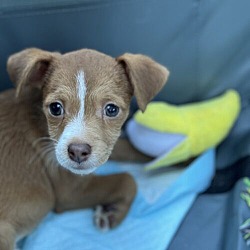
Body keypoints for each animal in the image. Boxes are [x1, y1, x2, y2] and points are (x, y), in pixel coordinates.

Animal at [0, 47, 170, 249]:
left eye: (111, 109)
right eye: (55, 108)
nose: (78, 151)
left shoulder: (105, 147)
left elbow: (128, 147)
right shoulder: (70, 192)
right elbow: (127, 180)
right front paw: (113, 211)